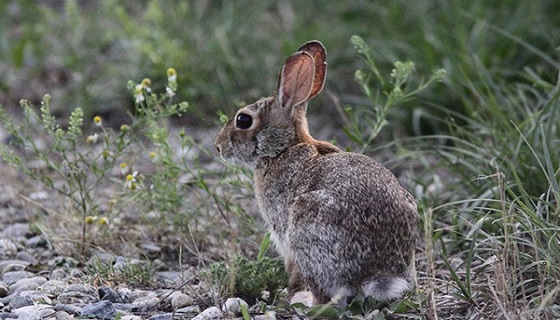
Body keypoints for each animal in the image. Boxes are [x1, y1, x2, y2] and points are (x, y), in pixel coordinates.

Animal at [214, 40, 416, 304]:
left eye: (243, 120)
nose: (218, 146)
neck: (281, 149)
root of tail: (373, 276)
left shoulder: (284, 235)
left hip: (306, 226)